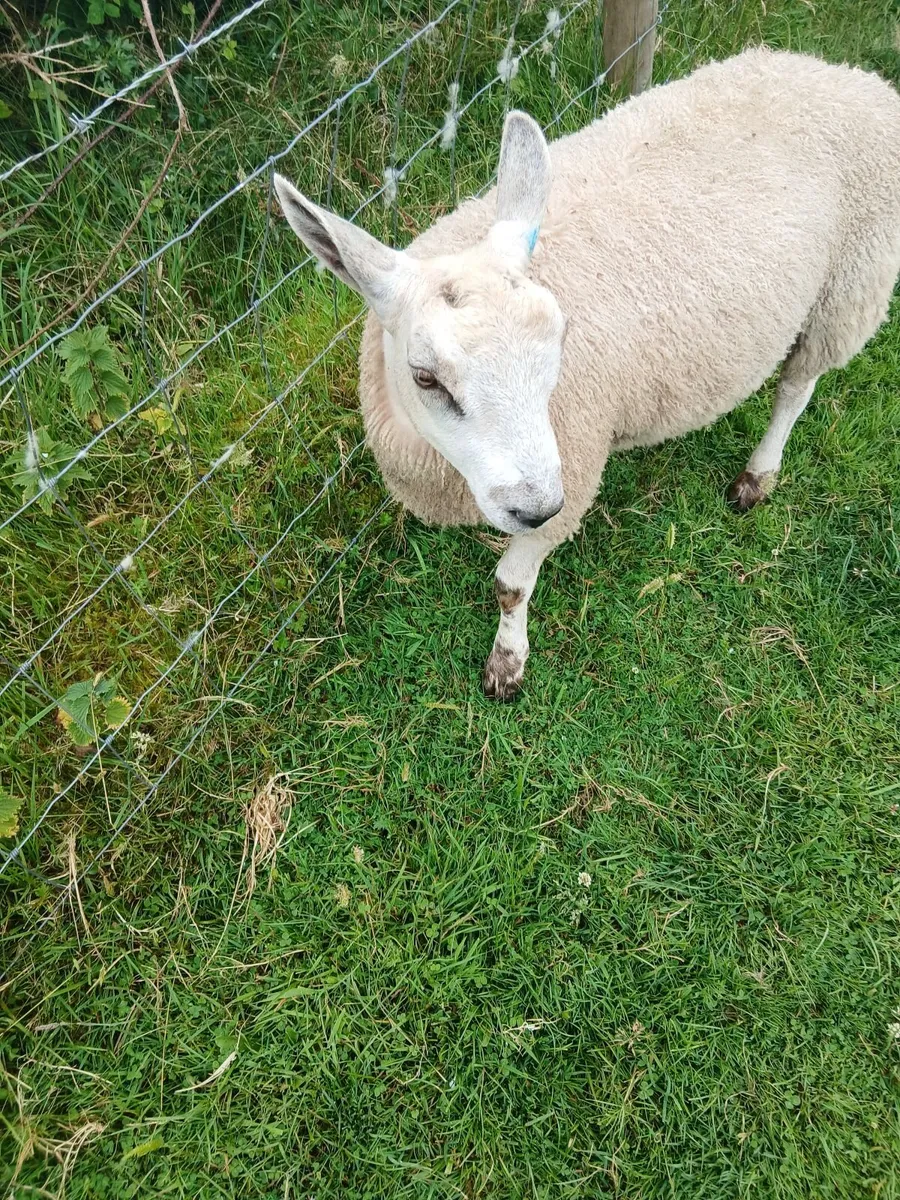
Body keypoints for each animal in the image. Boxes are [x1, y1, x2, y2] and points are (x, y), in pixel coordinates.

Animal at [274, 47, 900, 700]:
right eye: (426, 377)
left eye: (558, 340)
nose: (535, 506)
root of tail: (844, 73)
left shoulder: (571, 475)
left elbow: (510, 586)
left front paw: (507, 663)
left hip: (848, 287)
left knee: (796, 388)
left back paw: (757, 476)